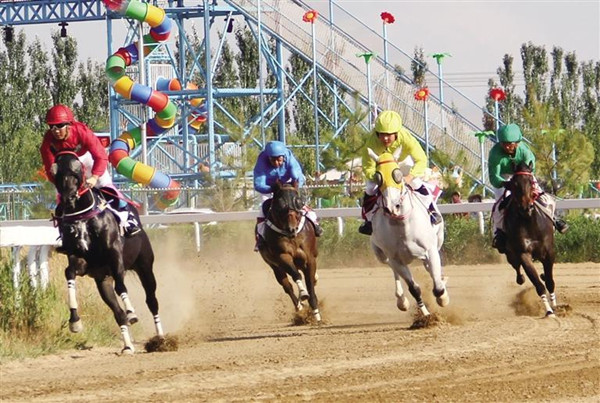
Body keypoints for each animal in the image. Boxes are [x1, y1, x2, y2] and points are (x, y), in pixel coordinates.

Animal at [50, 152, 164, 354]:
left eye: (77, 170)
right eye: (55, 172)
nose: (68, 198)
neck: (83, 218)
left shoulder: (115, 256)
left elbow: (121, 286)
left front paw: (132, 311)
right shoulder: (82, 261)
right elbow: (69, 272)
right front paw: (74, 321)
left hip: (145, 266)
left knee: (152, 301)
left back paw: (160, 338)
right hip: (103, 281)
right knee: (117, 313)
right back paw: (127, 346)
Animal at [258, 183, 324, 326]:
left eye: (298, 202)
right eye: (280, 204)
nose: (292, 228)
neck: (292, 236)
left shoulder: (309, 259)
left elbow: (310, 284)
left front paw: (316, 315)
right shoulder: (282, 257)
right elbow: (296, 276)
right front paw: (303, 294)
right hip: (275, 267)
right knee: (287, 286)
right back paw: (299, 307)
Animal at [368, 147, 448, 318]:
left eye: (397, 174)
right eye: (378, 177)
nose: (392, 206)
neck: (402, 227)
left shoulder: (431, 250)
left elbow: (438, 287)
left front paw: (443, 298)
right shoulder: (395, 258)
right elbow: (414, 288)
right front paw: (426, 315)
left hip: (437, 240)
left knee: (430, 268)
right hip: (380, 254)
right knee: (392, 269)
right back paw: (401, 299)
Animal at [502, 163, 556, 318]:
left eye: (532, 182)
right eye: (514, 184)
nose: (525, 208)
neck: (530, 222)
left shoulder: (549, 252)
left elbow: (550, 281)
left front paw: (555, 306)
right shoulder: (523, 254)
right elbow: (538, 284)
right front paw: (548, 311)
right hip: (510, 254)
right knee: (516, 268)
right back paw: (521, 278)